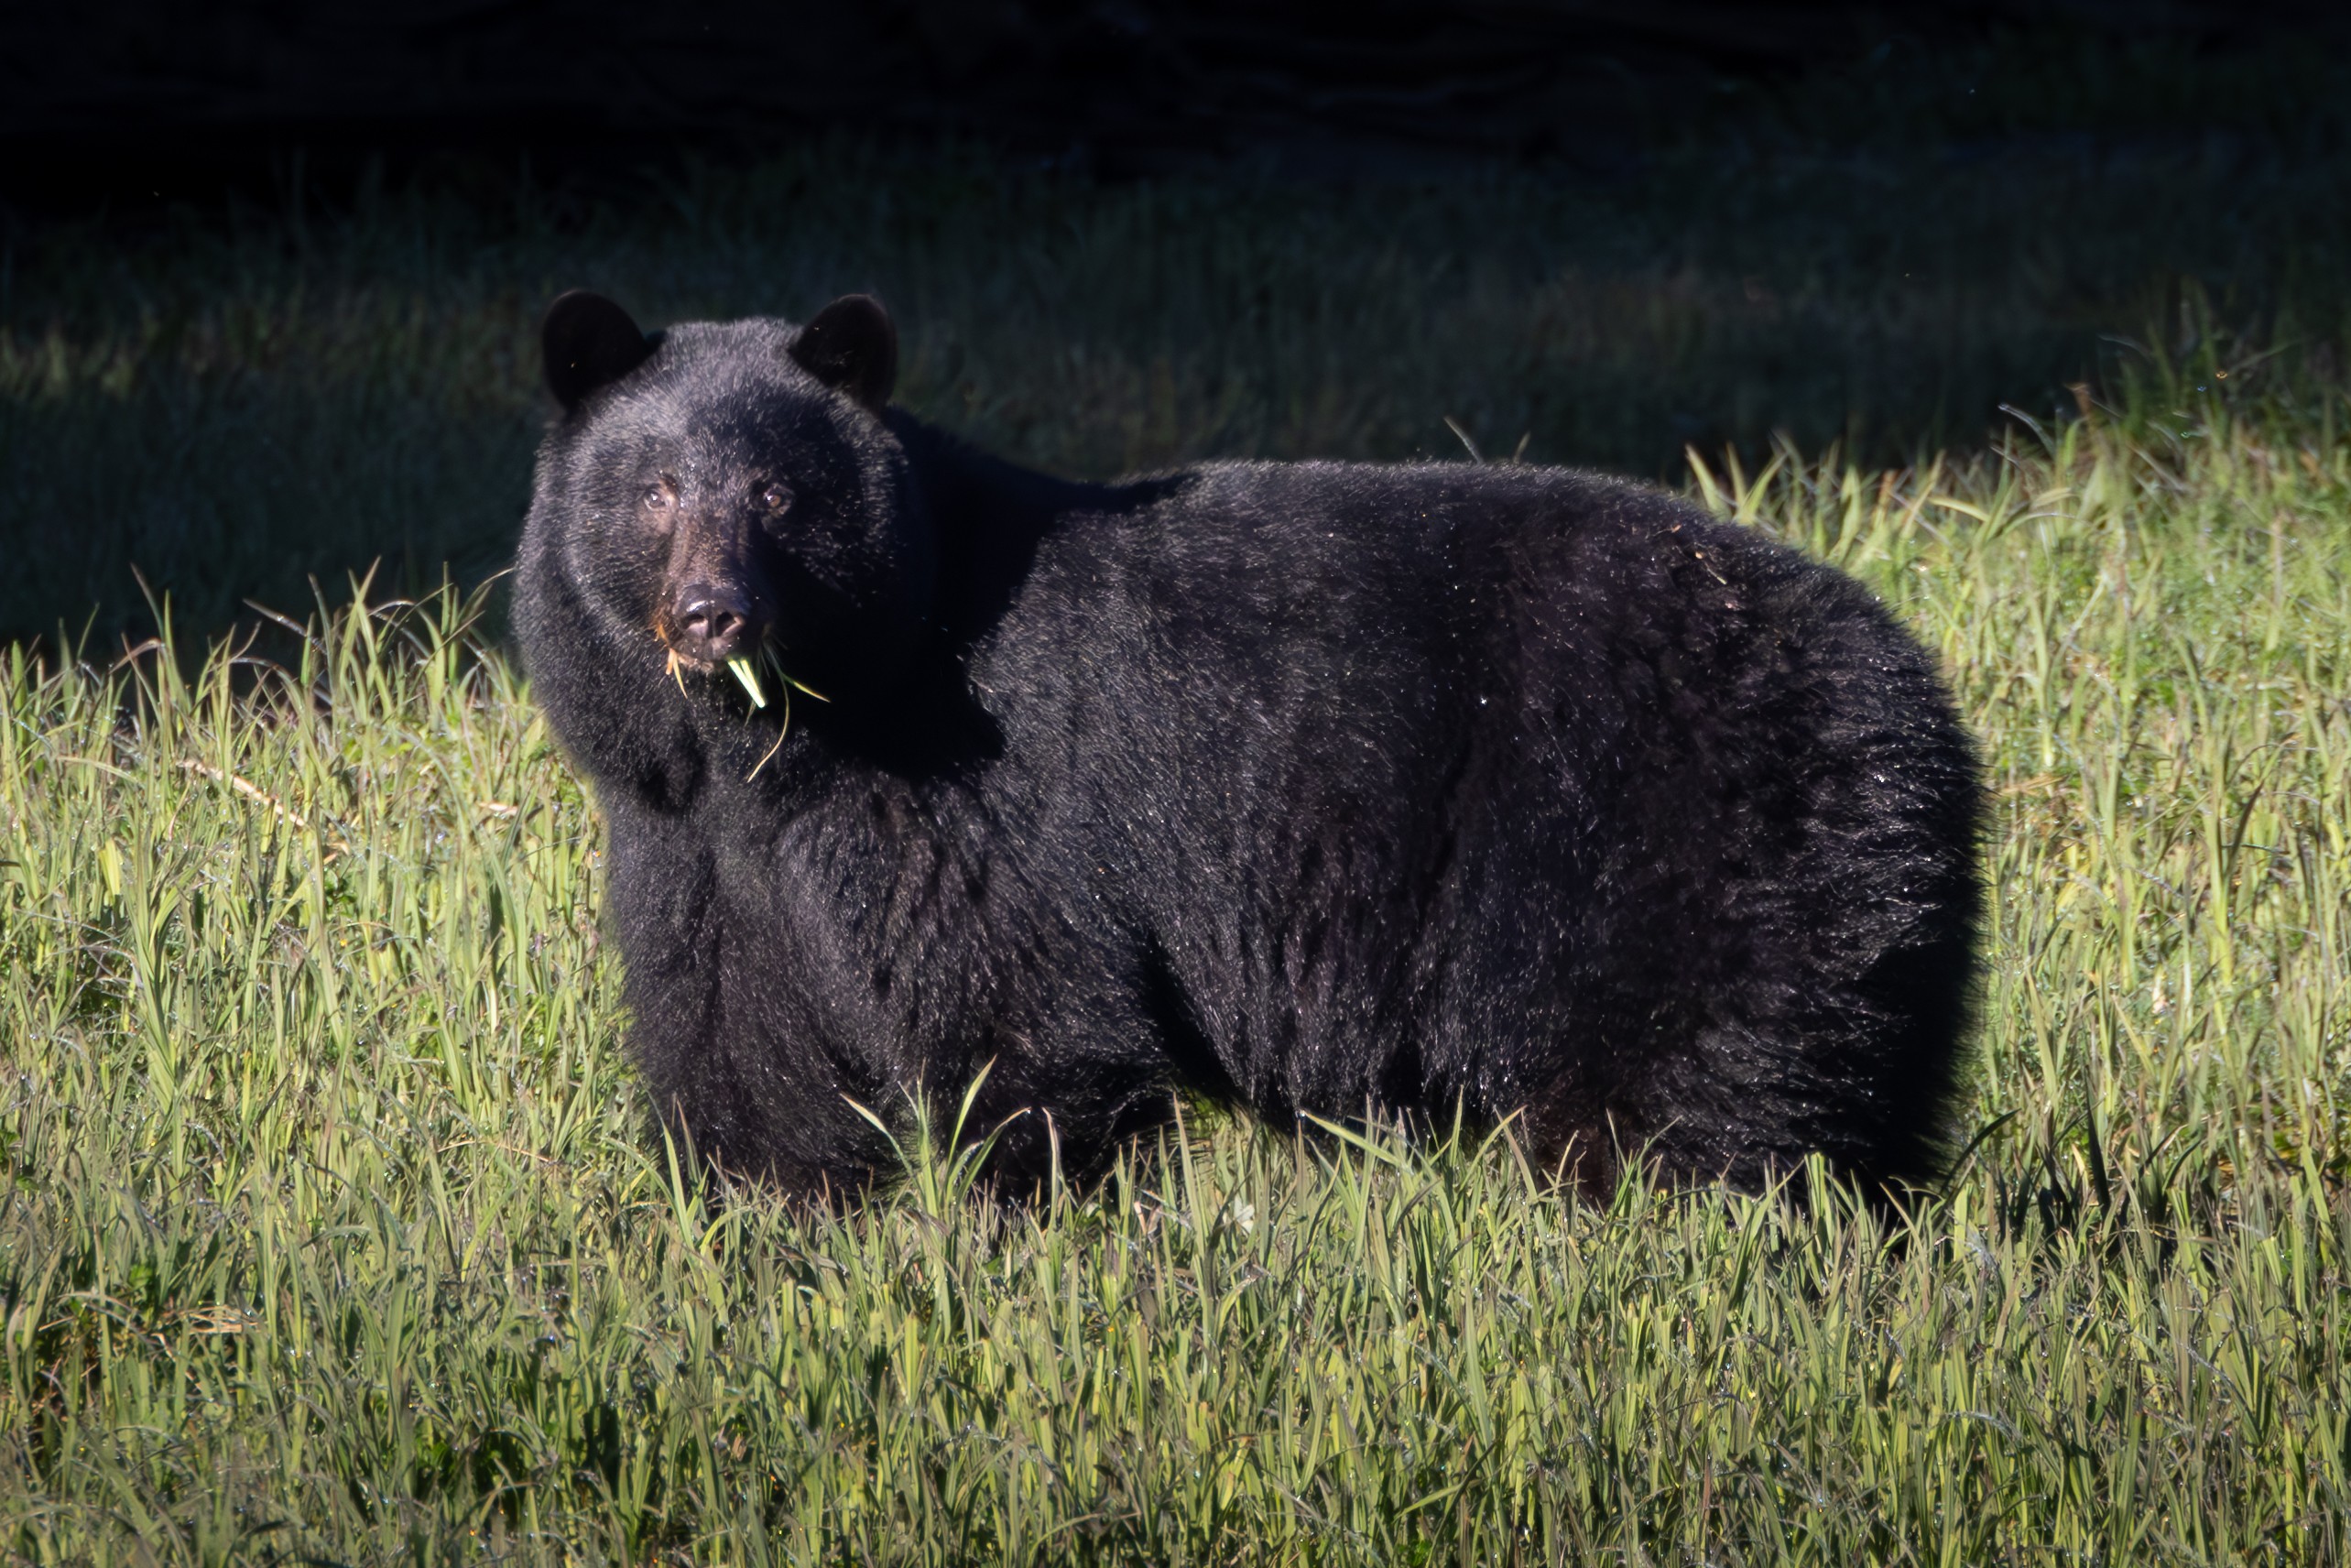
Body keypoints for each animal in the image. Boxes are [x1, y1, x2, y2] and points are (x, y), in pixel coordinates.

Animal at [519, 291, 1984, 1203]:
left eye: (777, 491)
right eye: (654, 489)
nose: (713, 613)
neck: (777, 745)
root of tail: (1908, 690)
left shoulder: (973, 799)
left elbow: (1026, 1016)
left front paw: (1017, 1228)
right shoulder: (687, 843)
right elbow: (735, 1045)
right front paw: (761, 1220)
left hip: (1667, 847)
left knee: (1691, 1101)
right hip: (1846, 914)